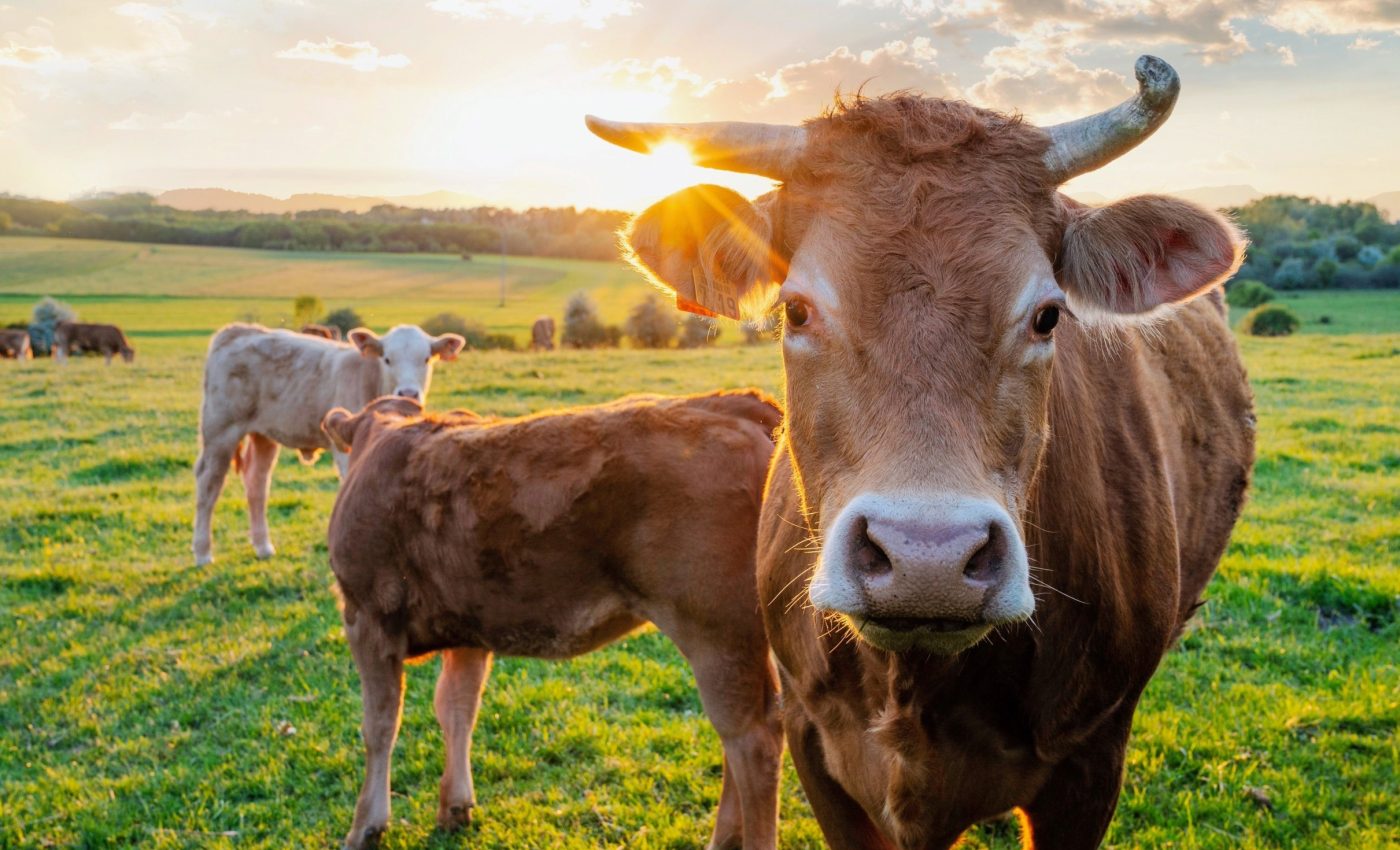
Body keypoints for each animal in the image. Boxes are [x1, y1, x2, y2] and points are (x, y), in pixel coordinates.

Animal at [192, 323, 465, 566]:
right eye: (387, 359)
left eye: (426, 359)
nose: (408, 393)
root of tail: (237, 330)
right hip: (220, 429)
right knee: (209, 483)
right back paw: (203, 553)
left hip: (263, 434)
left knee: (257, 483)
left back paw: (263, 546)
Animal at [320, 390, 785, 850]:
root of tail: (726, 403)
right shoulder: (467, 630)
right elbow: (456, 709)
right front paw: (454, 807)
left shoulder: (366, 617)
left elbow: (379, 725)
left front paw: (365, 827)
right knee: (746, 735)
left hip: (715, 633)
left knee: (752, 741)